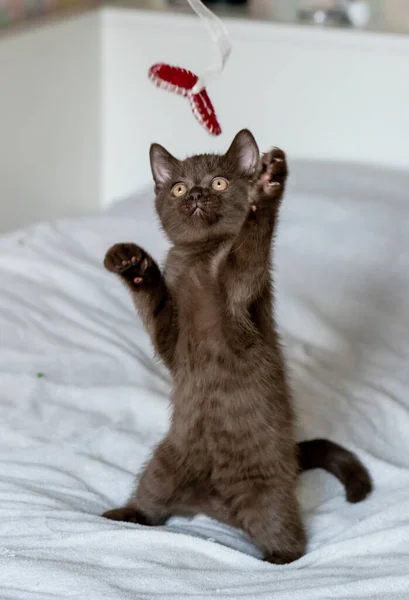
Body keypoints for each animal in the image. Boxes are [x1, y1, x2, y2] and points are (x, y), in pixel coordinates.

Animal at [101, 130, 370, 564]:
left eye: (219, 183)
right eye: (178, 188)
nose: (195, 194)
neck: (199, 260)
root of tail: (212, 509)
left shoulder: (242, 302)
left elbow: (248, 248)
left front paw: (269, 184)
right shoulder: (171, 343)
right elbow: (155, 302)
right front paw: (132, 263)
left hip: (266, 499)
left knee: (290, 540)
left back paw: (272, 560)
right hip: (161, 467)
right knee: (152, 509)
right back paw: (122, 515)